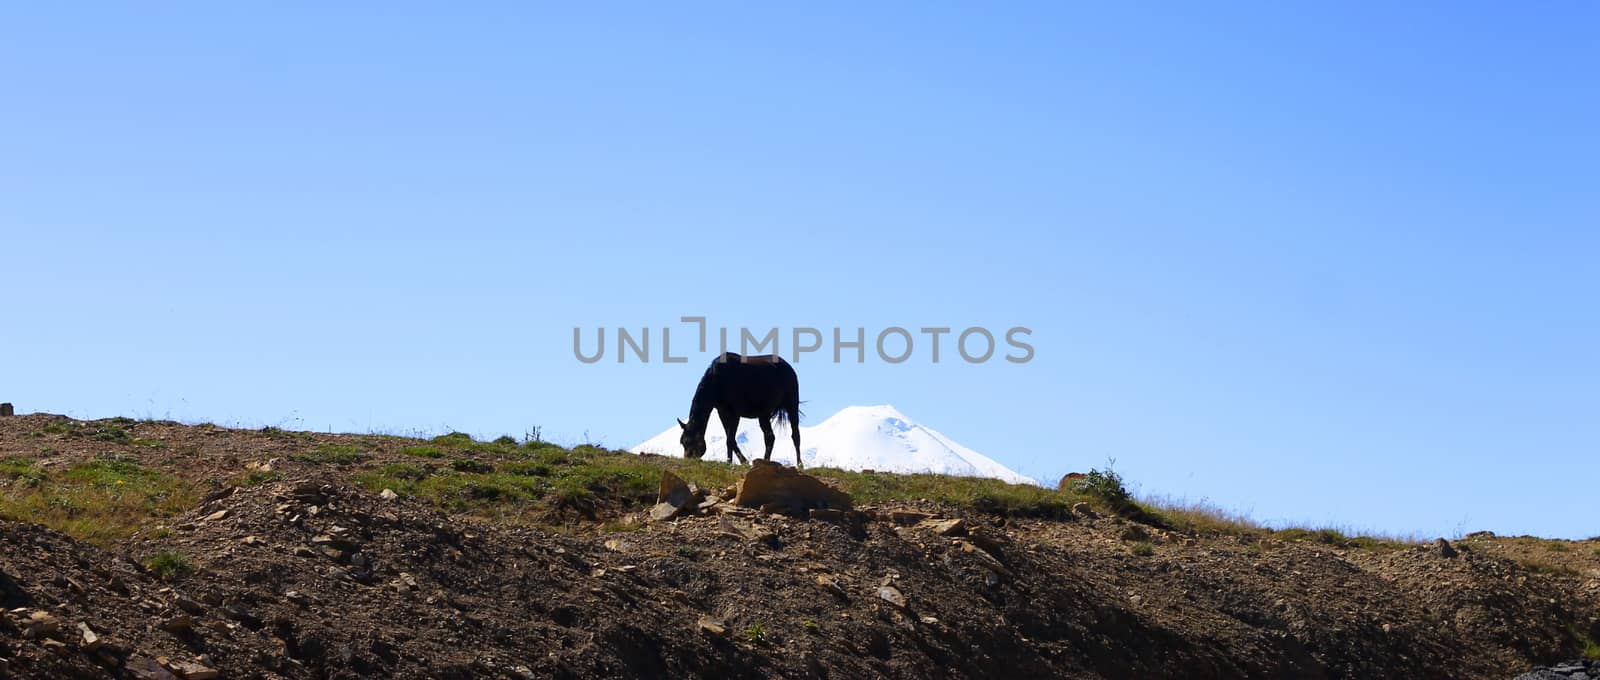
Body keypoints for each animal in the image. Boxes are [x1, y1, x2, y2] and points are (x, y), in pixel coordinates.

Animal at [678, 350, 806, 467]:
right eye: (682, 442)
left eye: (690, 442)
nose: (688, 459)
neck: (717, 383)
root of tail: (789, 368)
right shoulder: (723, 412)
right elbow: (730, 439)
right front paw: (729, 461)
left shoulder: (735, 413)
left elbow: (730, 440)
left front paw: (742, 461)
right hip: (763, 415)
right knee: (770, 437)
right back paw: (766, 460)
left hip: (791, 405)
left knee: (795, 435)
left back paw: (800, 464)